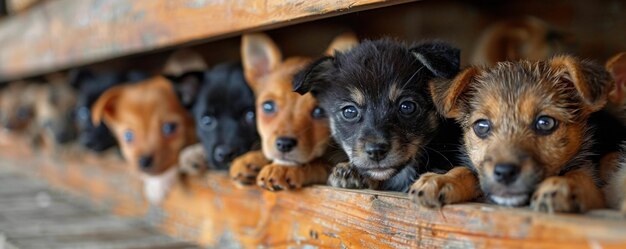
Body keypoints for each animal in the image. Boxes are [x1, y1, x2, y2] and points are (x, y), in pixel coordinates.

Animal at [229, 32, 356, 190]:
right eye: (268, 106)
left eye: (319, 111)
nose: (284, 144)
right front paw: (251, 159)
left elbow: (315, 164)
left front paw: (285, 168)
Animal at [412, 56, 612, 212]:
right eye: (482, 126)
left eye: (545, 123)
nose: (505, 172)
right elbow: (466, 171)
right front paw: (442, 179)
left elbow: (579, 175)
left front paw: (563, 185)